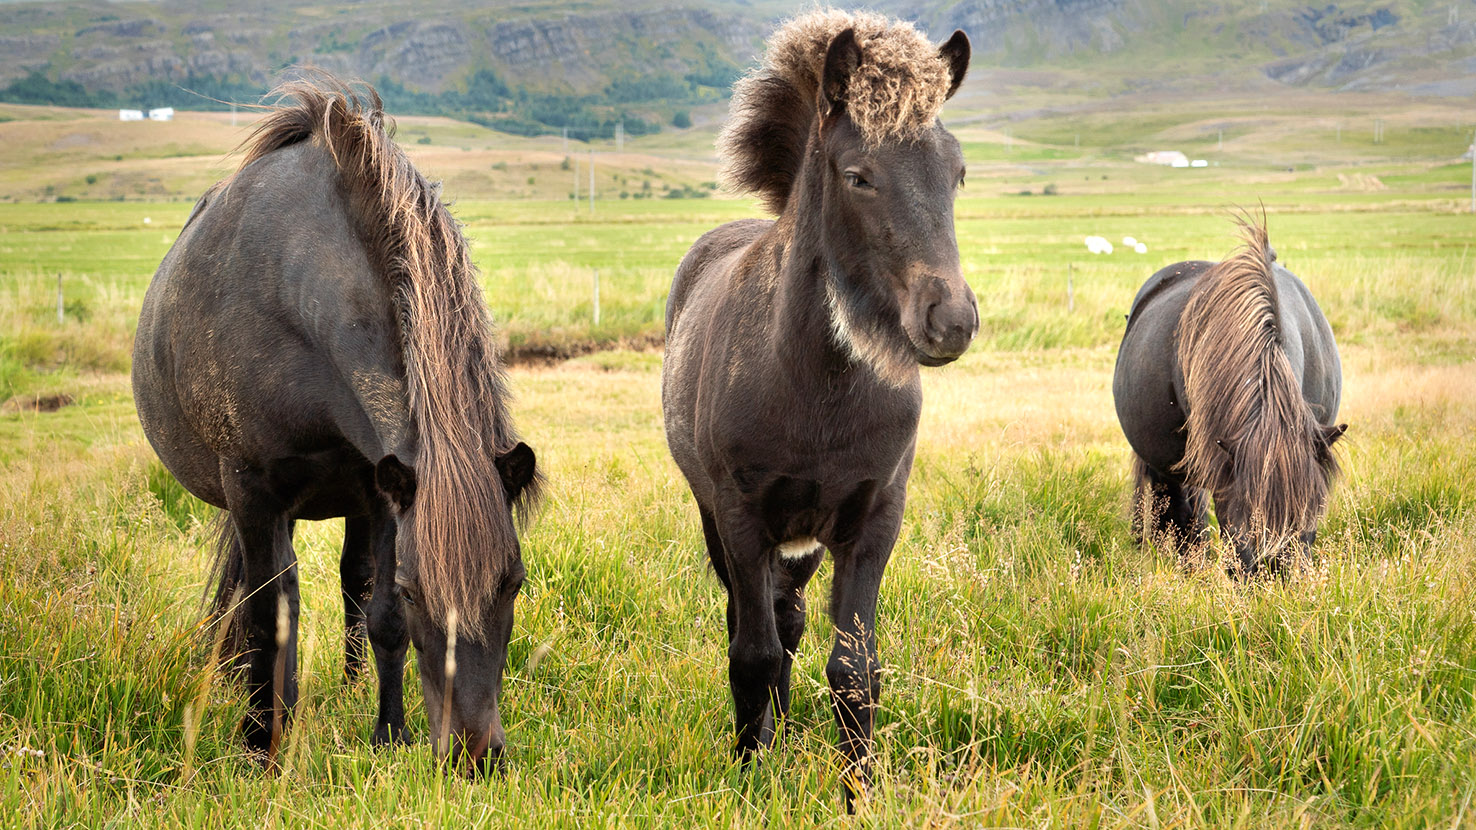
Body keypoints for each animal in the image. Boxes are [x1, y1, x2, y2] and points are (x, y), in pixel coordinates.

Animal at [134, 77, 543, 762]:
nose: (474, 753)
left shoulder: (382, 491)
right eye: (418, 588)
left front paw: (389, 734)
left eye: (512, 583)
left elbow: (381, 617)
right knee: (268, 597)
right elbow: (268, 613)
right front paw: (261, 743)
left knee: (349, 581)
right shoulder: (253, 490)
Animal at [664, 11, 974, 803]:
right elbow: (750, 654)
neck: (817, 389)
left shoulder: (874, 519)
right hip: (724, 522)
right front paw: (751, 777)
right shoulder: (740, 516)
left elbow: (853, 669)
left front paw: (857, 793)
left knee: (791, 619)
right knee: (760, 625)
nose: (950, 320)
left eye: (956, 172)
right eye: (859, 176)